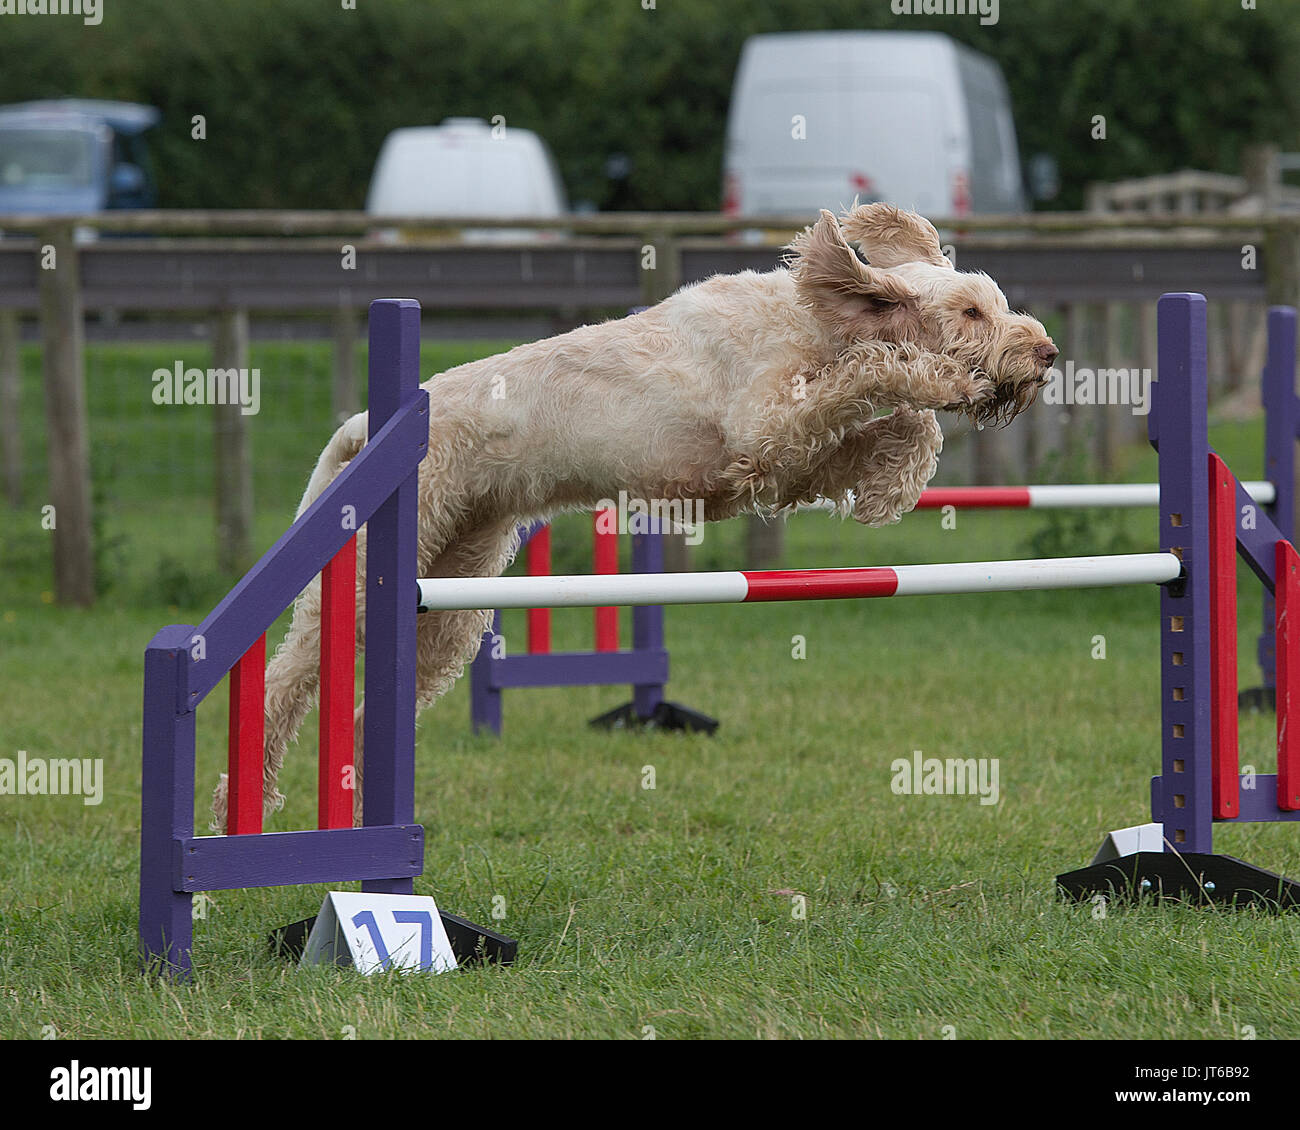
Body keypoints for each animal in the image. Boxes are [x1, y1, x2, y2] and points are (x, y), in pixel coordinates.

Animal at [210, 202, 1055, 827]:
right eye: (971, 310)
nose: (1045, 352)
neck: (816, 319)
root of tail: (379, 420)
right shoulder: (767, 430)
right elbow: (879, 372)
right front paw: (938, 386)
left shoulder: (782, 461)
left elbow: (894, 427)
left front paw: (893, 478)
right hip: (365, 584)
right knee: (286, 679)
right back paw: (240, 803)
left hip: (452, 599)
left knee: (369, 701)